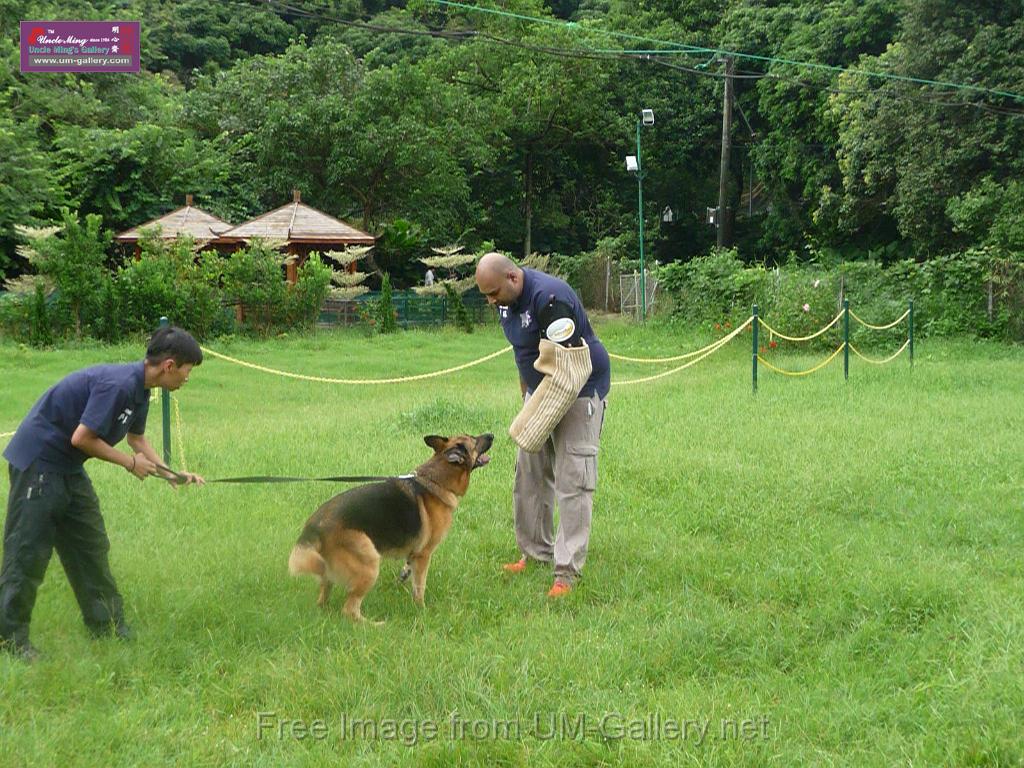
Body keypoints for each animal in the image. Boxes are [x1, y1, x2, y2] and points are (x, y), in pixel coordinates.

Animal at [288, 436, 495, 622]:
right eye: (475, 440)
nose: (491, 435)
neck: (436, 480)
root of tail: (314, 524)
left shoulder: (414, 554)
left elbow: (409, 570)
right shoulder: (424, 555)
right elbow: (420, 587)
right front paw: (421, 609)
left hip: (331, 570)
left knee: (324, 597)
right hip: (369, 564)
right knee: (350, 609)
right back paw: (375, 625)